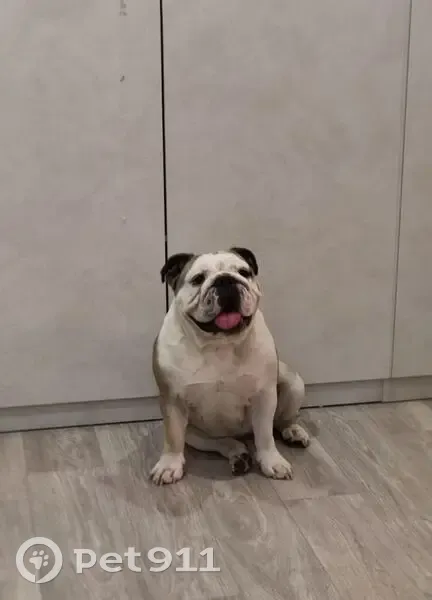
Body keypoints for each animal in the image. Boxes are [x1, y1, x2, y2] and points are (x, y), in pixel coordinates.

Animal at [151, 247, 309, 485]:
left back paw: (292, 431)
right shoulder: (172, 401)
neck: (220, 343)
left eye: (244, 272)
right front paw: (169, 464)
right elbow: (173, 437)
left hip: (294, 383)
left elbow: (265, 435)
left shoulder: (265, 397)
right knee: (221, 442)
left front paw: (272, 461)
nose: (225, 280)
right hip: (195, 434)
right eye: (198, 279)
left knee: (279, 422)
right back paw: (238, 454)